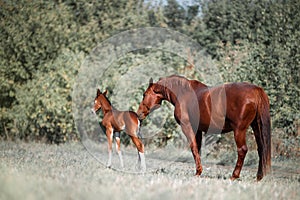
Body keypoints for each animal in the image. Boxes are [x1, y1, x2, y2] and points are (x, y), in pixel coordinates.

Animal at [137, 75, 270, 181]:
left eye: (144, 95)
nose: (139, 114)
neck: (183, 93)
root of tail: (256, 90)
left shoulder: (187, 127)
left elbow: (193, 147)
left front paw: (198, 172)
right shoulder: (198, 130)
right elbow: (198, 149)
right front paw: (198, 171)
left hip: (239, 130)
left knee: (242, 150)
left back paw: (234, 176)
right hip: (256, 127)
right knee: (261, 149)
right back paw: (259, 177)